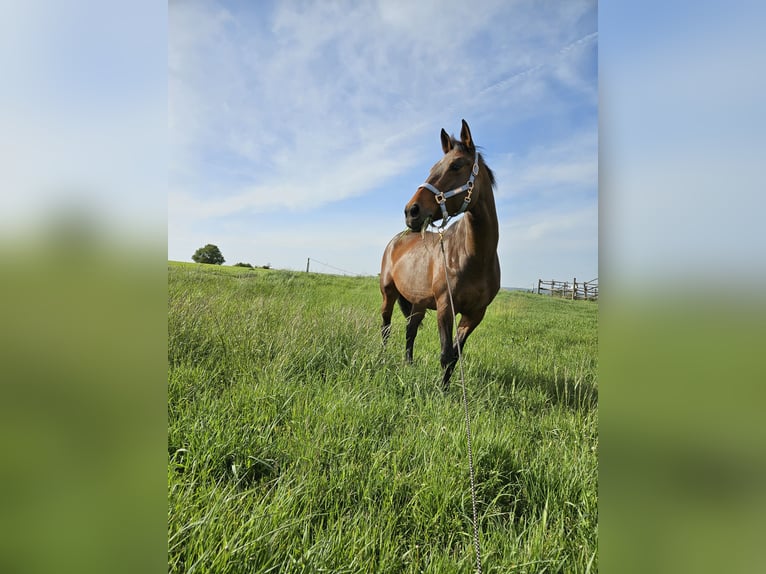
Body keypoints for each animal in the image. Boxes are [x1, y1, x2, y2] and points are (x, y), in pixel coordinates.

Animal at [380, 121, 500, 392]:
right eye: (432, 168)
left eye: (456, 166)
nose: (411, 211)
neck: (475, 258)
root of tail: (396, 240)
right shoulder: (446, 307)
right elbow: (445, 354)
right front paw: (442, 394)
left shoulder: (475, 314)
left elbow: (455, 355)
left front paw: (446, 390)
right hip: (388, 294)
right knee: (386, 328)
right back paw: (380, 356)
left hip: (418, 302)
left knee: (410, 330)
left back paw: (408, 364)